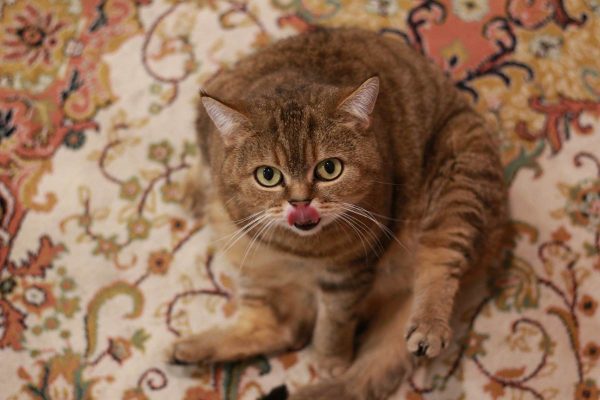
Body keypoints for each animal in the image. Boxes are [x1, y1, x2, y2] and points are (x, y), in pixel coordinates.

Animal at [171, 26, 508, 398]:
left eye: (329, 168)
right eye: (268, 175)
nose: (300, 202)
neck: (301, 250)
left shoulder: (350, 270)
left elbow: (335, 321)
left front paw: (331, 359)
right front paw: (191, 187)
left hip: (462, 177)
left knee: (440, 263)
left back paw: (427, 327)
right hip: (254, 260)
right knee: (283, 328)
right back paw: (190, 349)